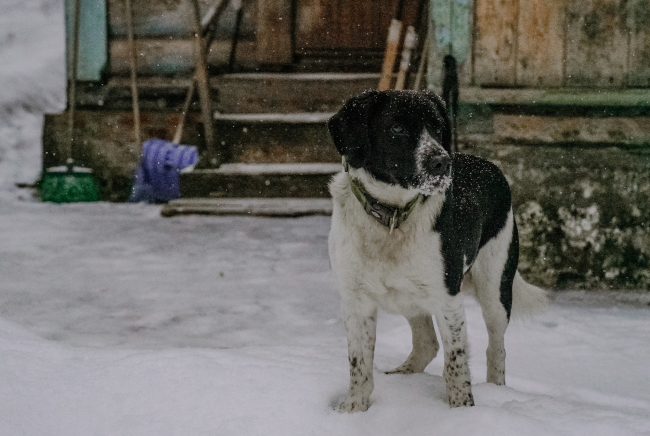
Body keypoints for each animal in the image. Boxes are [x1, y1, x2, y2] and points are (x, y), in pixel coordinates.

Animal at [326, 89, 544, 412]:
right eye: (397, 129)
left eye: (438, 127)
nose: (443, 162)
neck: (392, 218)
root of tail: (491, 166)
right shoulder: (355, 301)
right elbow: (359, 362)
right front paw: (353, 409)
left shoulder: (447, 300)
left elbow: (456, 363)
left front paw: (461, 411)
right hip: (412, 298)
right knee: (427, 342)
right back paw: (404, 374)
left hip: (495, 289)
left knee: (496, 348)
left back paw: (496, 389)